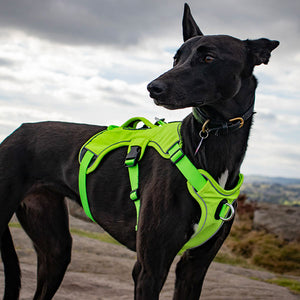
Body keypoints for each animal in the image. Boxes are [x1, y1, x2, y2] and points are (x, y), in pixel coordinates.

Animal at [0, 3, 278, 298]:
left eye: (208, 58)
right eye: (176, 58)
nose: (153, 88)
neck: (209, 141)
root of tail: (16, 131)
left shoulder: (194, 267)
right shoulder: (149, 270)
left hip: (55, 248)